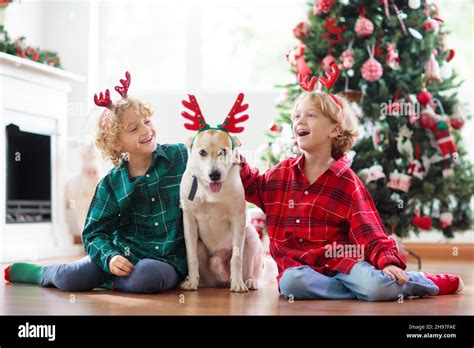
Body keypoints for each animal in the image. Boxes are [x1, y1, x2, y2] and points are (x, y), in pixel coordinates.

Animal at [180, 94, 264, 292]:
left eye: (223, 151)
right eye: (202, 152)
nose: (215, 174)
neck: (208, 189)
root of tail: (219, 280)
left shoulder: (238, 219)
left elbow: (237, 258)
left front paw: (238, 283)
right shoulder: (189, 219)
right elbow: (190, 256)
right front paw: (191, 282)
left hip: (251, 236)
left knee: (252, 268)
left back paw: (249, 281)